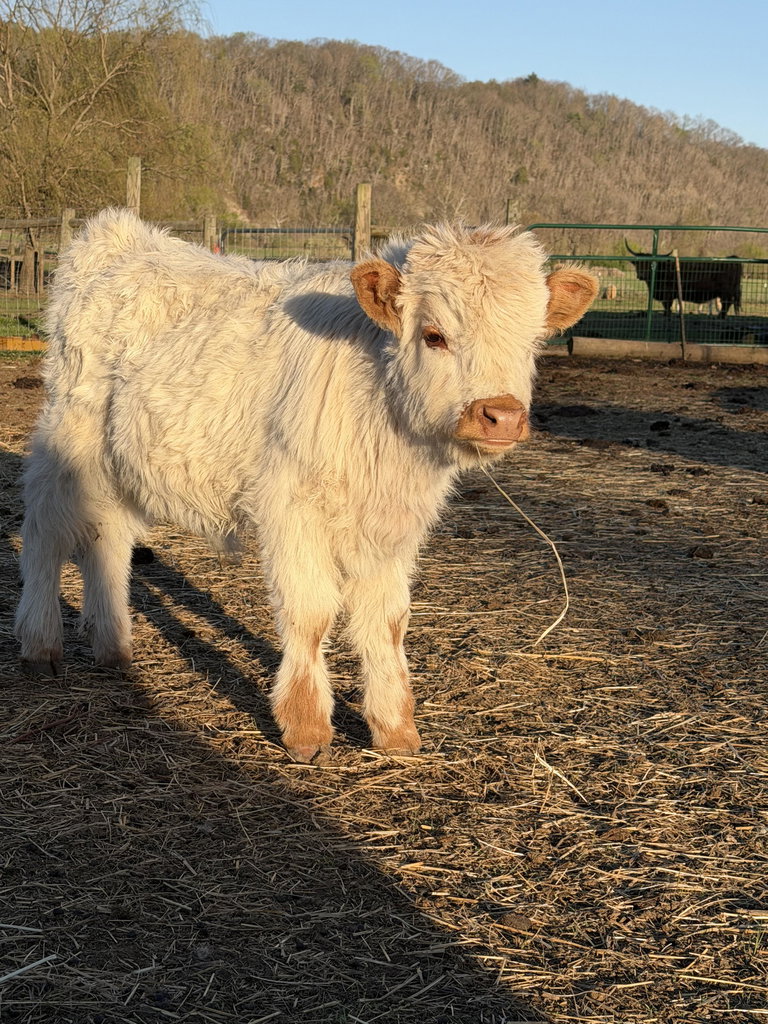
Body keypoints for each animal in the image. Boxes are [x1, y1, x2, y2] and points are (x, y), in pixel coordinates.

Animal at [15, 210, 597, 762]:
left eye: (533, 342)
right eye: (434, 335)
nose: (502, 415)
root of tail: (118, 233)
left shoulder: (393, 525)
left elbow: (388, 620)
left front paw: (396, 729)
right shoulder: (291, 508)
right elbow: (311, 614)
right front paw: (306, 728)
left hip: (123, 462)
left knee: (107, 537)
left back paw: (113, 644)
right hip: (69, 436)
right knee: (46, 530)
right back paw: (40, 645)